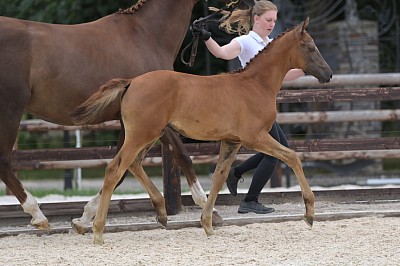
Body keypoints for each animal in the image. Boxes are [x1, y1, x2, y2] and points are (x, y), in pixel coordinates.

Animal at [0, 0, 216, 232]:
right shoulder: (156, 119)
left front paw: (83, 218)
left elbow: (120, 169)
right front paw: (208, 209)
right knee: (4, 161)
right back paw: (38, 215)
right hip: (10, 110)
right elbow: (182, 156)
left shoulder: (128, 123)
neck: (146, 35)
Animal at [72, 17, 334, 244]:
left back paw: (161, 212)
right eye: (311, 47)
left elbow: (219, 177)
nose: (328, 73)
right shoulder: (255, 137)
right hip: (142, 135)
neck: (255, 85)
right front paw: (309, 213)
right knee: (115, 169)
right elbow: (292, 157)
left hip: (150, 135)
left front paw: (207, 223)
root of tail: (131, 82)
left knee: (133, 164)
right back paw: (98, 231)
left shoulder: (232, 141)